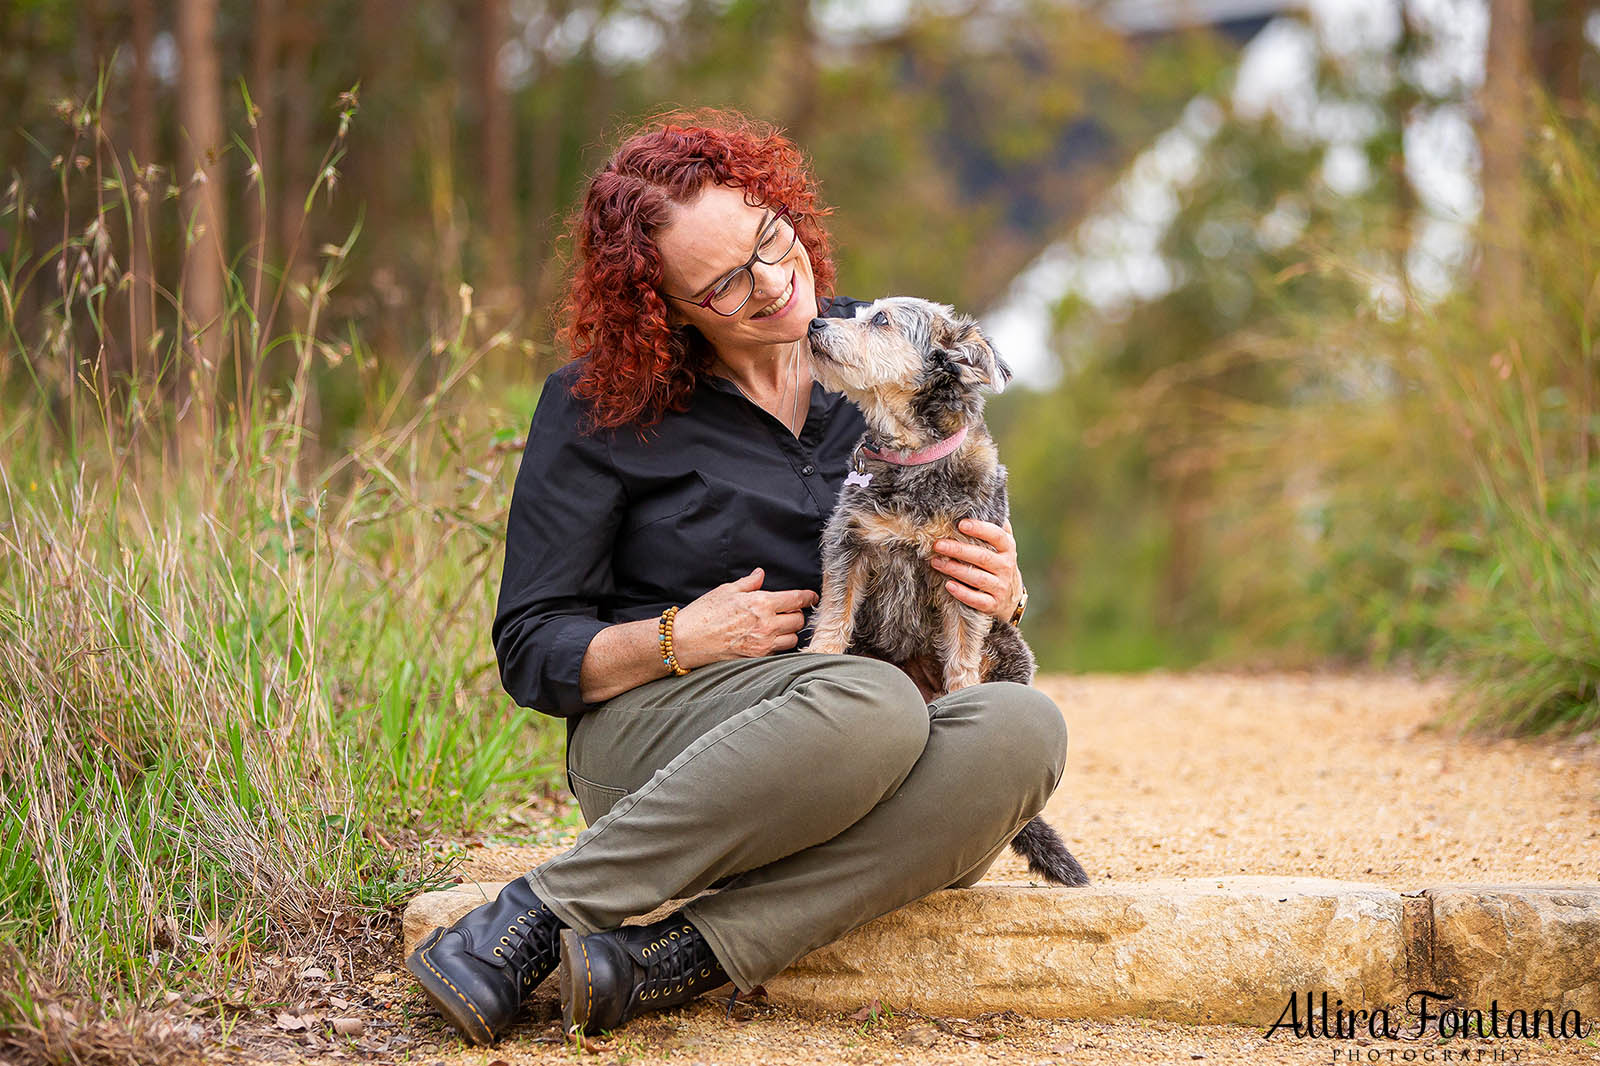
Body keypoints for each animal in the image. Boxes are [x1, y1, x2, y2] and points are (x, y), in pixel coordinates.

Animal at [806, 294, 1094, 883]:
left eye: (881, 320)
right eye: (861, 311)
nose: (815, 322)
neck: (912, 460)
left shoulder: (964, 569)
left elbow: (962, 651)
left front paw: (966, 695)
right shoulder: (849, 546)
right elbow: (835, 614)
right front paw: (819, 655)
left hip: (1010, 647)